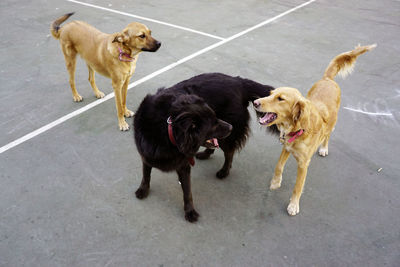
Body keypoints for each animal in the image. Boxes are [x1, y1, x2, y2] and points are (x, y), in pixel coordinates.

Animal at [133, 72, 276, 223]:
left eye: (216, 118)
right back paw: (206, 154)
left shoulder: (183, 165)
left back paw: (224, 171)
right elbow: (146, 174)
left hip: (227, 139)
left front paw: (190, 211)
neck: (167, 129)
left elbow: (187, 191)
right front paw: (143, 189)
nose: (231, 127)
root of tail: (239, 81)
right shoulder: (146, 155)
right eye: (213, 124)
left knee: (229, 153)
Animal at [255, 44, 376, 216]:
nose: (255, 102)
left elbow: (298, 187)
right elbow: (278, 166)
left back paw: (324, 148)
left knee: (328, 135)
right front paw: (275, 182)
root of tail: (328, 79)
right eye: (271, 94)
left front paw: (293, 205)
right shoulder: (286, 147)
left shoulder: (303, 164)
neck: (298, 129)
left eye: (280, 99)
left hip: (333, 123)